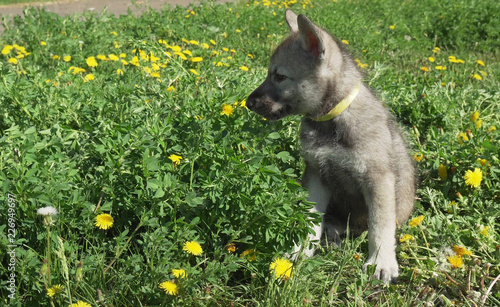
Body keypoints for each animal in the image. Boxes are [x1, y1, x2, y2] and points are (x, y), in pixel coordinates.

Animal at [245, 10, 414, 284]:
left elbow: (380, 225)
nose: (248, 103)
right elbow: (310, 218)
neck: (332, 119)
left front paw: (382, 262)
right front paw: (300, 249)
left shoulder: (377, 179)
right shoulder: (316, 173)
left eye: (280, 76)